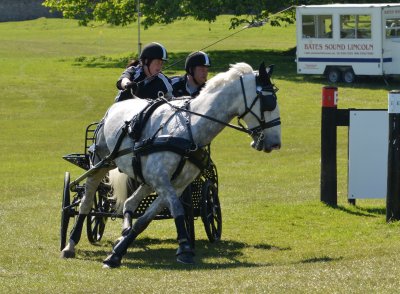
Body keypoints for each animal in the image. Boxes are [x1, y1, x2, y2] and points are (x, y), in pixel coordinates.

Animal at [61, 61, 282, 266]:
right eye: (269, 102)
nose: (276, 143)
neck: (188, 129)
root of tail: (114, 108)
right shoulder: (162, 181)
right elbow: (177, 209)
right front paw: (184, 248)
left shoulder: (175, 184)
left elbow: (145, 220)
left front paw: (117, 251)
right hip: (100, 164)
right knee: (86, 201)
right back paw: (70, 244)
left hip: (145, 179)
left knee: (130, 202)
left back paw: (123, 232)